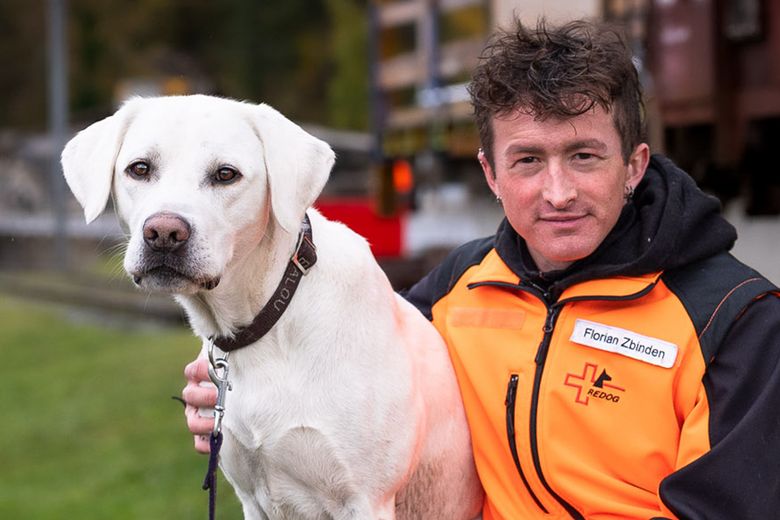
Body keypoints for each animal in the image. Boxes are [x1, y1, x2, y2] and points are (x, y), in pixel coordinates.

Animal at [61, 95, 483, 519]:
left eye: (226, 174)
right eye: (140, 169)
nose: (164, 233)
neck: (268, 320)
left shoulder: (365, 500)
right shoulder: (250, 494)